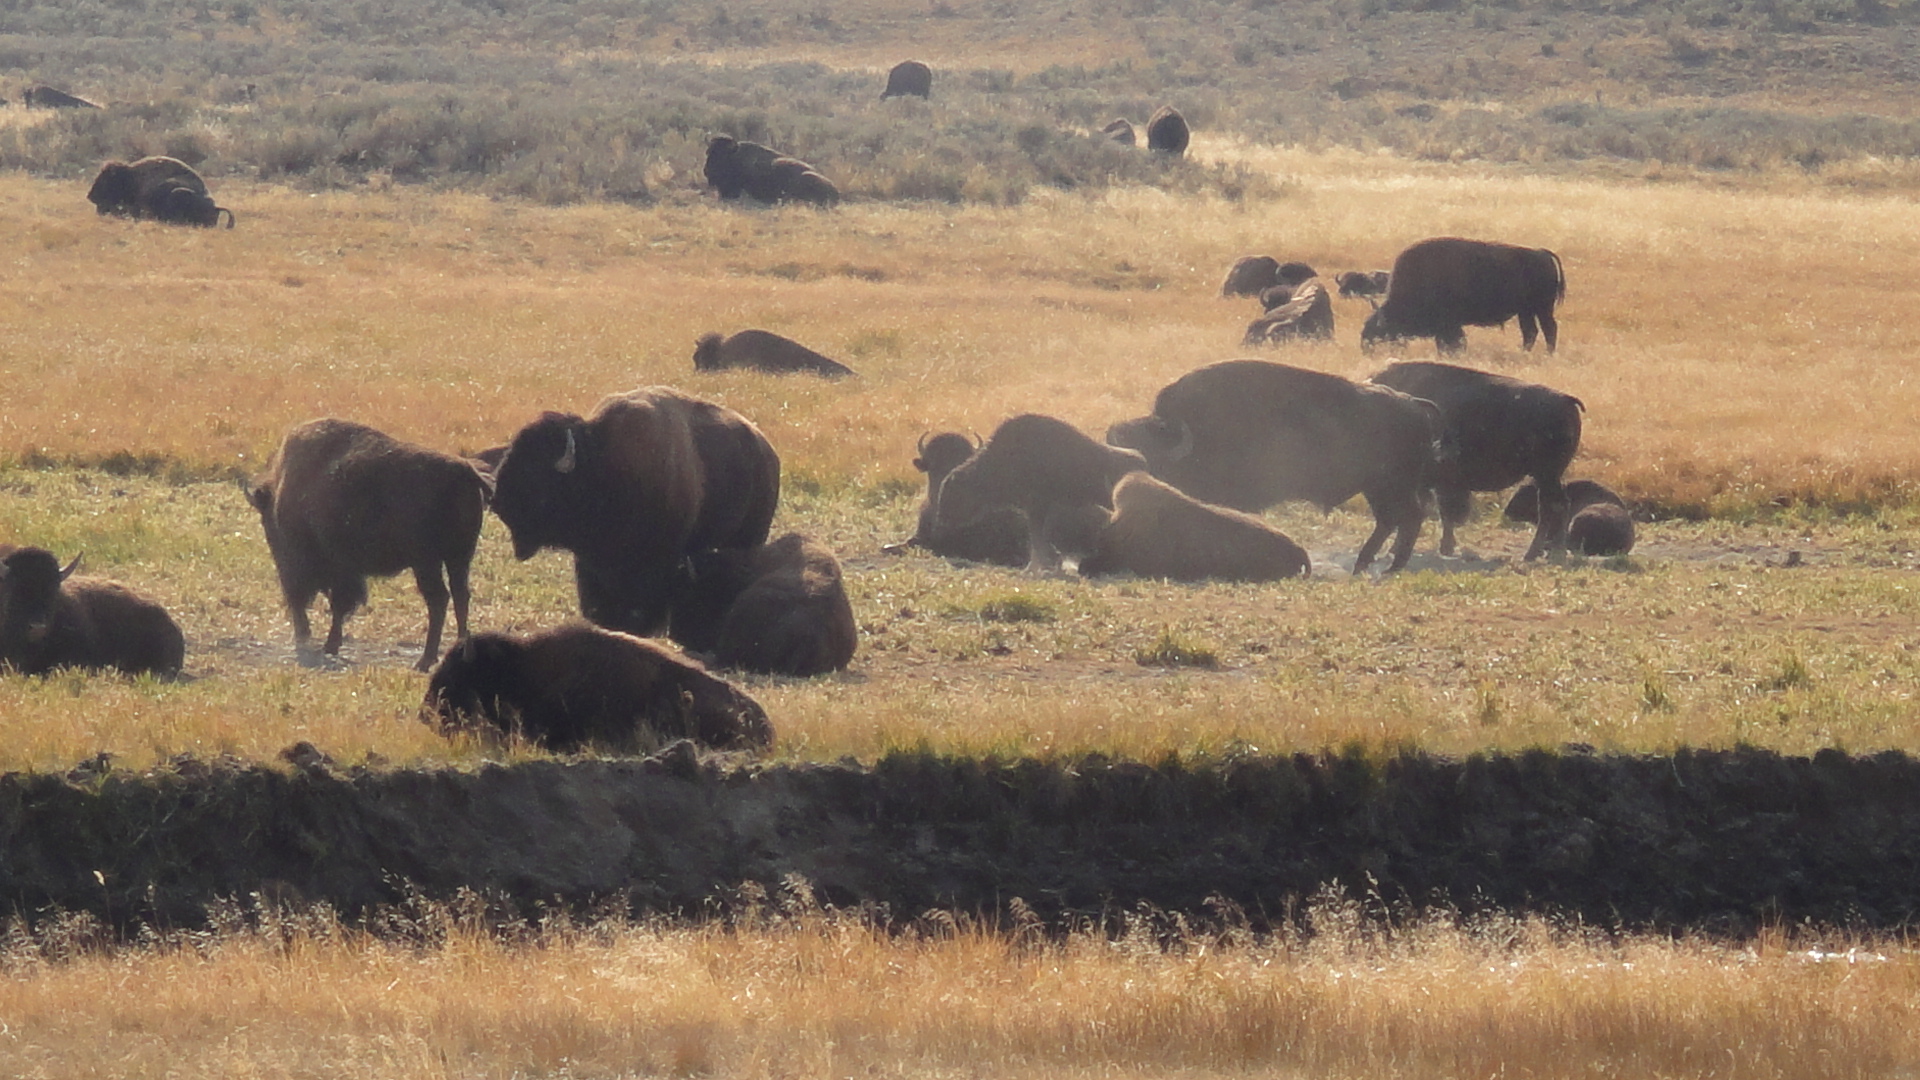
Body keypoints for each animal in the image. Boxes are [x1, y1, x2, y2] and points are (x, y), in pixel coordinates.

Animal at [248, 419, 493, 671]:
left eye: (270, 529)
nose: (301, 636)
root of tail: (464, 471)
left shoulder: (340, 567)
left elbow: (340, 603)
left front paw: (329, 645)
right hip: (458, 558)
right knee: (460, 595)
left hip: (427, 562)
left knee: (439, 598)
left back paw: (424, 661)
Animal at [489, 387, 781, 637]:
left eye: (534, 474)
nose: (498, 504)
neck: (601, 466)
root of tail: (768, 451)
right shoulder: (590, 563)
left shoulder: (655, 562)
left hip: (751, 536)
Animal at [1106, 360, 1444, 574]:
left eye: (1150, 452)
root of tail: (1412, 403)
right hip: (1378, 489)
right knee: (1391, 521)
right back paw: (1366, 564)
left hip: (1391, 487)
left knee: (1407, 517)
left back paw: (1389, 566)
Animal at [1361, 237, 1566, 353]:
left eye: (1380, 330)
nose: (1365, 347)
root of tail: (1541, 253)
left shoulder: (1449, 325)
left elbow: (1453, 342)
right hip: (1525, 311)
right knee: (1530, 331)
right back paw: (1524, 352)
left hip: (1542, 308)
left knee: (1549, 328)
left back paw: (1548, 353)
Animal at [1369, 361, 1584, 561]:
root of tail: (1566, 400)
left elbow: (1440, 512)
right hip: (1547, 476)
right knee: (1555, 506)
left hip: (1547, 475)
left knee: (1553, 507)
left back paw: (1543, 553)